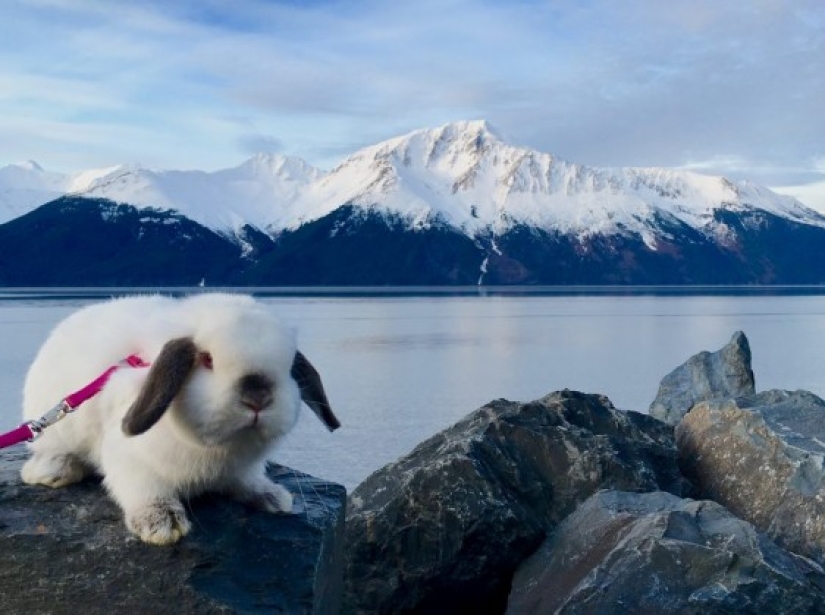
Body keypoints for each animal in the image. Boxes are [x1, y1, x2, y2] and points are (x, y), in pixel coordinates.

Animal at [20, 293, 340, 545]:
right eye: (208, 360)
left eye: (289, 366)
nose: (257, 398)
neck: (221, 447)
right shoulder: (131, 461)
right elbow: (144, 489)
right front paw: (163, 524)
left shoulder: (242, 469)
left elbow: (248, 481)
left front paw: (273, 497)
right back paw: (54, 471)